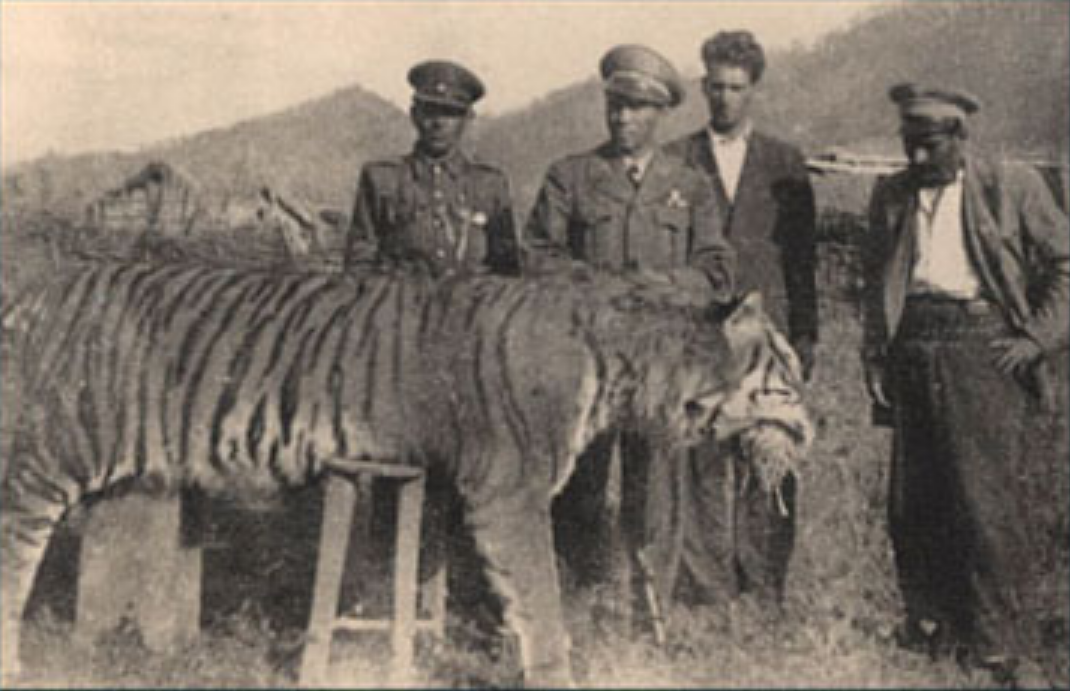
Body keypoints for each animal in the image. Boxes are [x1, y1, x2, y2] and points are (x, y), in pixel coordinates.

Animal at [0, 260, 812, 687]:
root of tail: (35, 284)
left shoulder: (457, 489)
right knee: (13, 561)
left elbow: (440, 591)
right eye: (788, 366)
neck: (632, 365)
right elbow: (541, 603)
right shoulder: (509, 494)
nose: (816, 424)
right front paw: (554, 671)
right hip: (40, 459)